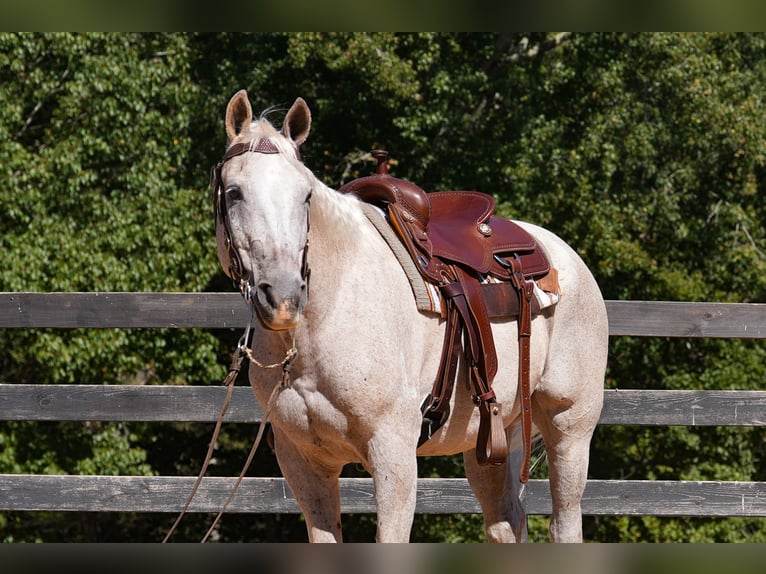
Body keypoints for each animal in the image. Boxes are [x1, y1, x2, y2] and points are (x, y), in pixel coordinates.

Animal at [212, 89, 609, 543]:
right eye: (234, 193)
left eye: (305, 196)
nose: (282, 295)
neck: (328, 315)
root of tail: (562, 254)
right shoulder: (303, 462)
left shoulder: (393, 451)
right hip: (490, 438)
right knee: (508, 521)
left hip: (569, 427)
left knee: (565, 521)